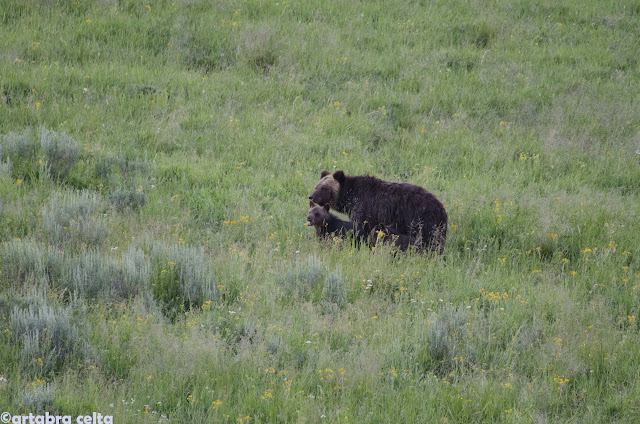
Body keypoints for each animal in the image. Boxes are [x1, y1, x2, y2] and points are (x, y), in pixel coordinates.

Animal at [308, 171, 448, 253]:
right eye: (317, 186)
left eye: (324, 188)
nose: (311, 196)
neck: (349, 197)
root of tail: (441, 208)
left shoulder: (363, 210)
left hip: (419, 220)